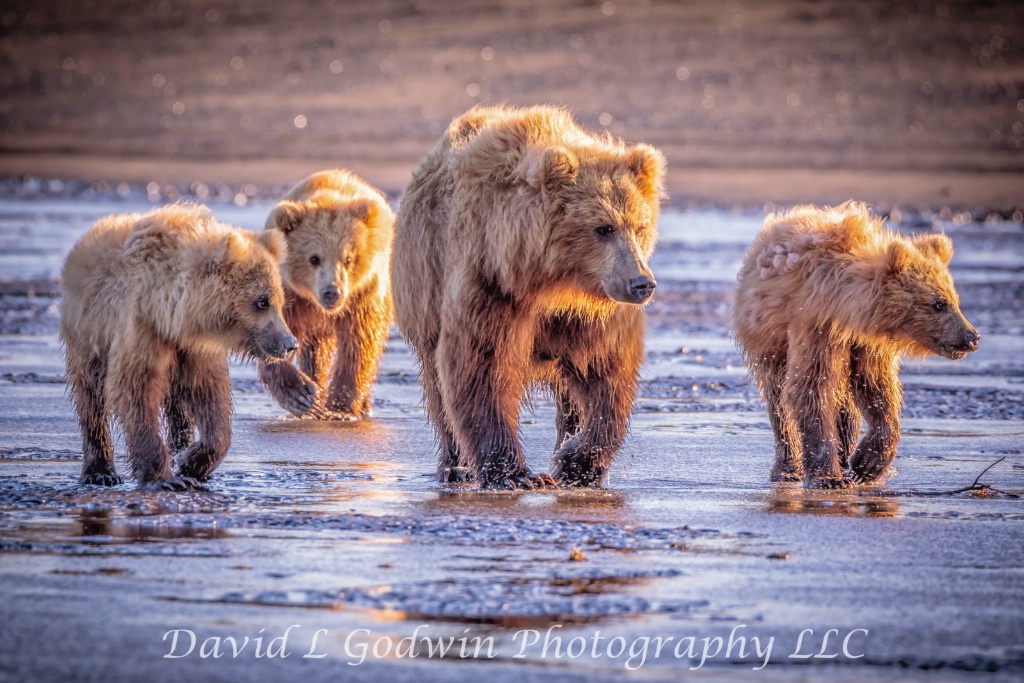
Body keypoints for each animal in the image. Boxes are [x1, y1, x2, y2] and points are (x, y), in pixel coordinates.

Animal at [59, 205, 294, 489]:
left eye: (280, 300)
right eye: (262, 301)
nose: (289, 343)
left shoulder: (196, 347)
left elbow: (210, 394)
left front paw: (190, 462)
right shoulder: (140, 327)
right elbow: (135, 388)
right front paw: (163, 478)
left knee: (178, 404)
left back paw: (180, 445)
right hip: (88, 334)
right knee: (91, 397)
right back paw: (100, 471)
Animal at [258, 167, 393, 419]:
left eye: (348, 258)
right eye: (314, 258)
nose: (332, 291)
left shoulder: (364, 295)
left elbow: (359, 346)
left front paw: (340, 407)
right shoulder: (290, 295)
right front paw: (300, 395)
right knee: (315, 350)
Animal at [389, 104, 663, 489]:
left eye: (640, 226)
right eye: (603, 228)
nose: (641, 284)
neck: (550, 283)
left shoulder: (592, 312)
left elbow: (607, 373)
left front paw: (577, 464)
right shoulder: (489, 284)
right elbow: (480, 366)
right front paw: (513, 474)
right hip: (423, 285)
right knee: (437, 387)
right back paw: (455, 466)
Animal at [733, 200, 978, 489]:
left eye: (955, 300)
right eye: (939, 303)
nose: (971, 337)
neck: (849, 309)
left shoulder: (868, 343)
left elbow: (877, 389)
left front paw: (867, 463)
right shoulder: (814, 325)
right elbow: (811, 388)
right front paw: (828, 477)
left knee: (845, 404)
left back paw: (845, 456)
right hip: (767, 339)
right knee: (779, 399)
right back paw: (788, 467)